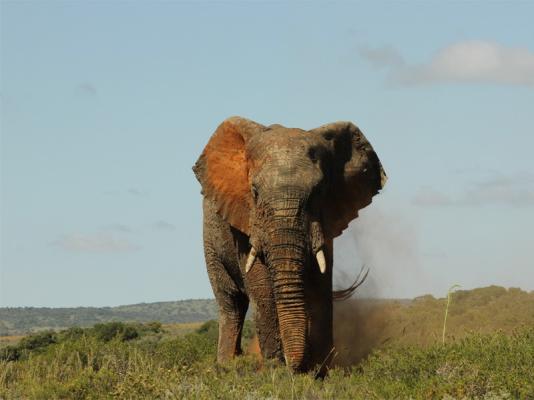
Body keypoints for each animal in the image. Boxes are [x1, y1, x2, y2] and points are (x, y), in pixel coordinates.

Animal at [195, 117, 388, 374]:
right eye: (254, 192)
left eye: (319, 191)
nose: (295, 367)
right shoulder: (245, 224)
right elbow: (262, 288)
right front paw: (277, 369)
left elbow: (320, 285)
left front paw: (318, 372)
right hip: (211, 240)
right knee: (231, 304)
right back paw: (227, 368)